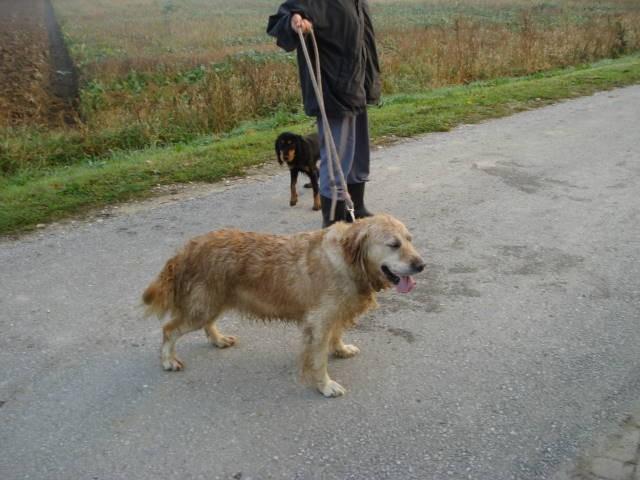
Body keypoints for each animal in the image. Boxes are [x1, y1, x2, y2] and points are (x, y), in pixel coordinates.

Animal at [144, 215, 424, 398]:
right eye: (394, 244)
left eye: (410, 240)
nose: (421, 265)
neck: (348, 260)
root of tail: (186, 249)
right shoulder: (318, 322)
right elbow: (318, 359)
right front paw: (325, 385)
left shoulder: (334, 315)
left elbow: (336, 335)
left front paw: (341, 349)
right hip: (203, 305)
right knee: (169, 330)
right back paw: (168, 360)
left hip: (214, 301)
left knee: (207, 324)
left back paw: (218, 339)